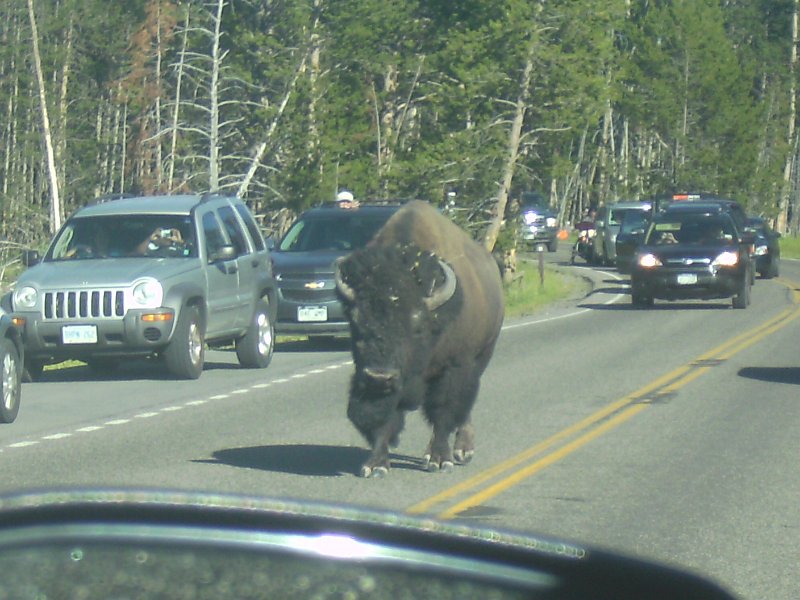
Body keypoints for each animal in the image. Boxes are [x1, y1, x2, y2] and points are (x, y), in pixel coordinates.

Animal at [334, 202, 504, 478]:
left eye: (416, 326)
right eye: (357, 321)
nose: (380, 375)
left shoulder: (455, 366)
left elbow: (444, 411)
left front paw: (440, 460)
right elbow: (386, 418)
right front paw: (376, 464)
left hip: (482, 356)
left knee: (463, 405)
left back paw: (462, 450)